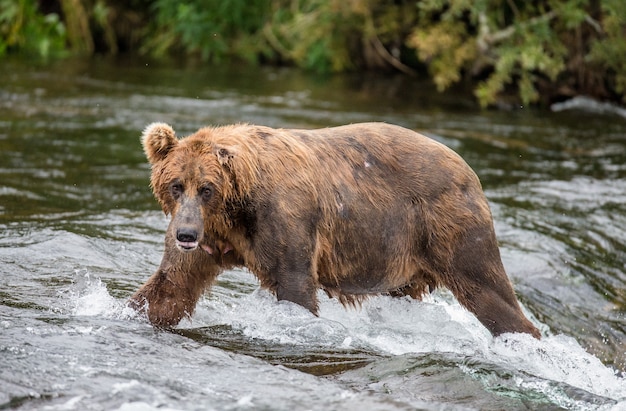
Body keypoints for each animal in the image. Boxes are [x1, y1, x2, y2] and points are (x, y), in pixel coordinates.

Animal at [129, 120, 540, 340]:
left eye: (207, 188)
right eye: (176, 185)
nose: (184, 235)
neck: (236, 212)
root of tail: (468, 169)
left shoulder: (286, 219)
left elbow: (295, 287)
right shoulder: (211, 238)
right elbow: (171, 287)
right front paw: (133, 312)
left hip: (449, 226)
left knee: (489, 292)